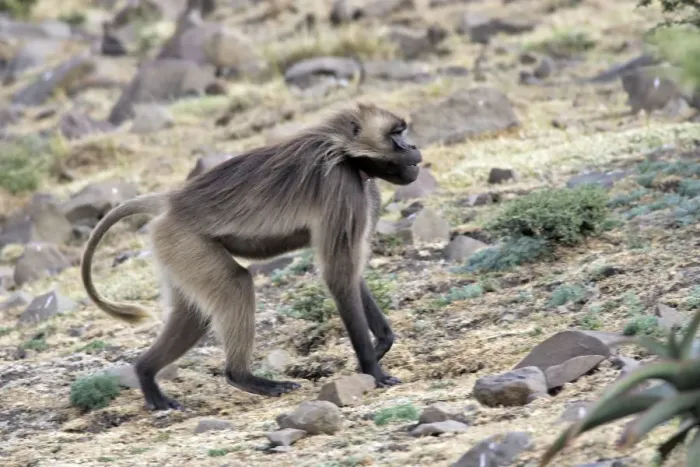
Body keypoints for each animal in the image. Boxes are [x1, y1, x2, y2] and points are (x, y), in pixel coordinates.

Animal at [81, 103, 422, 411]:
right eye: (397, 134)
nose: (415, 147)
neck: (343, 152)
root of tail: (171, 201)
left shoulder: (365, 190)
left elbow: (350, 274)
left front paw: (382, 343)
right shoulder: (342, 186)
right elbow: (338, 275)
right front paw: (373, 370)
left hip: (174, 251)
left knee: (192, 313)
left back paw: (147, 376)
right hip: (186, 242)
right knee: (236, 284)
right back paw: (246, 378)